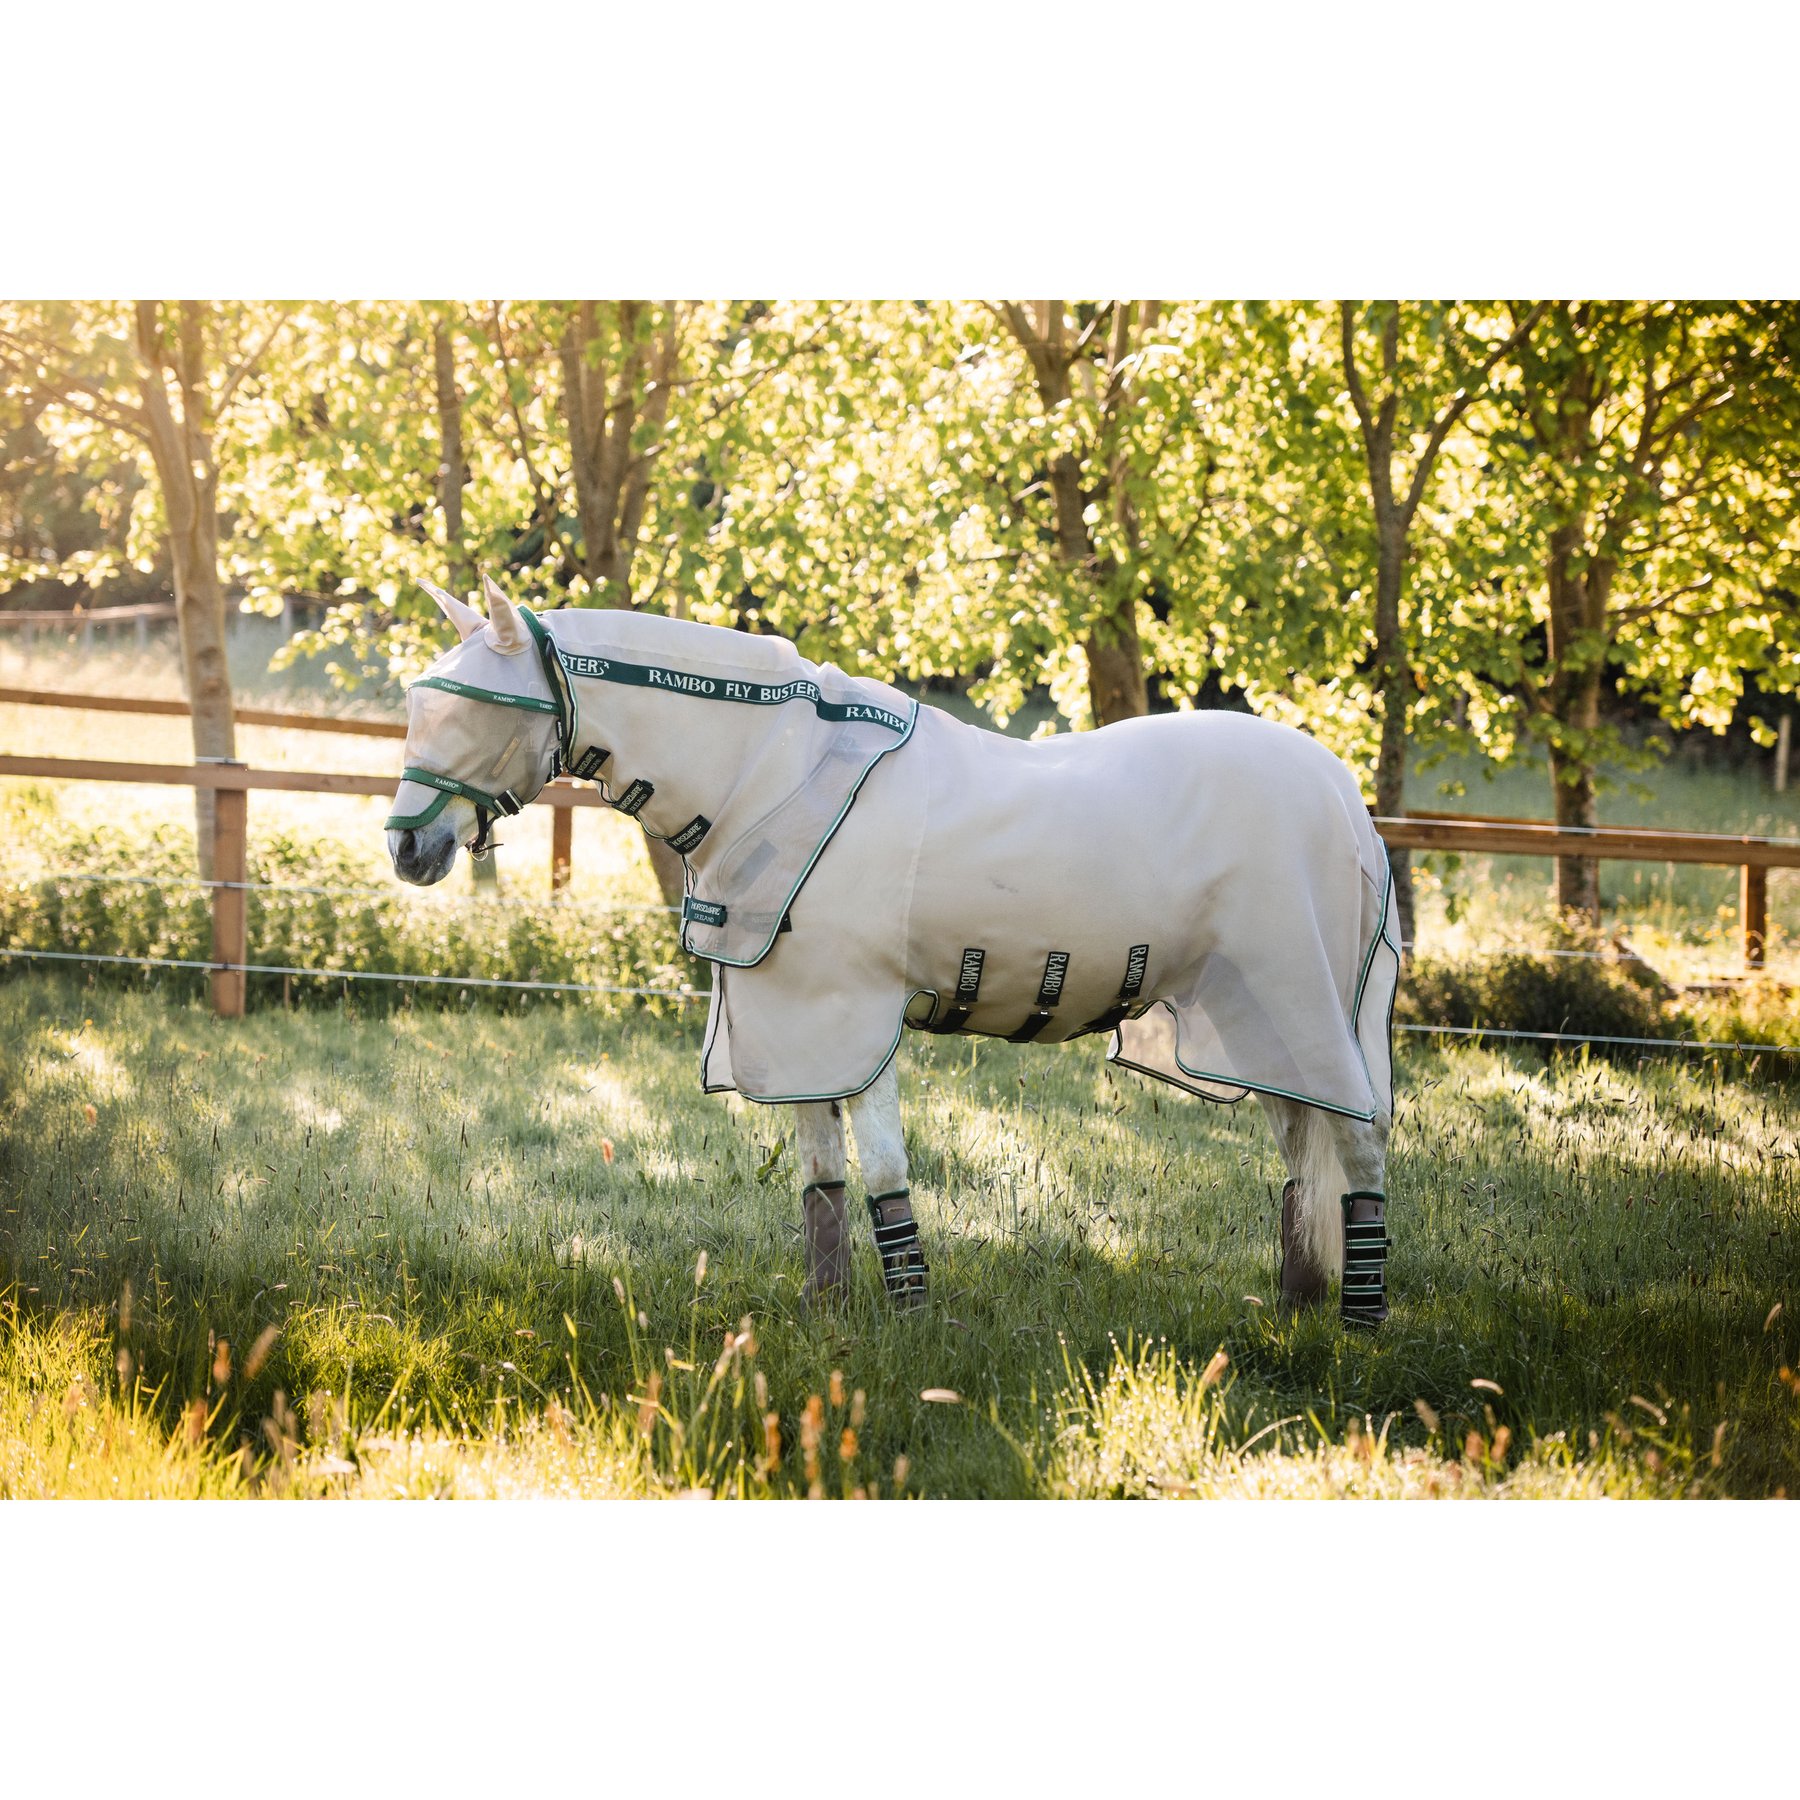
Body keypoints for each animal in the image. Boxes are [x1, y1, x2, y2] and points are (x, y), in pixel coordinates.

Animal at [385, 576, 1402, 1326]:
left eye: (480, 710)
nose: (407, 849)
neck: (779, 777)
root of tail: (1342, 796)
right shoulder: (790, 1024)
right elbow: (821, 1175)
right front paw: (828, 1309)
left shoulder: (854, 1015)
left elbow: (881, 1169)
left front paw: (911, 1316)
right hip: (1255, 1020)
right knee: (1301, 1149)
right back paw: (1299, 1301)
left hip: (1306, 1006)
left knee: (1358, 1142)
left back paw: (1360, 1321)